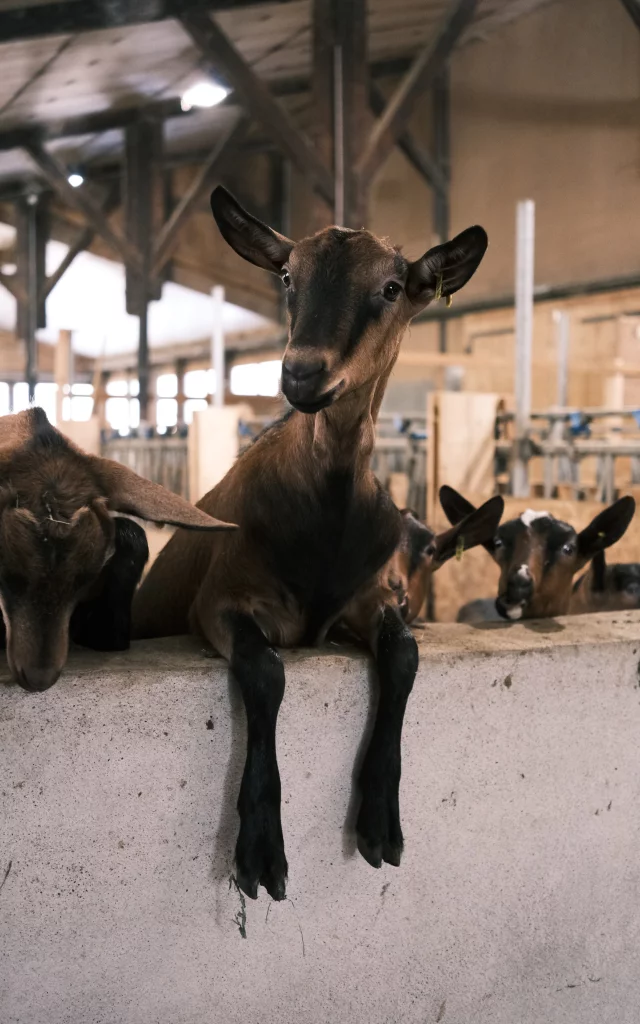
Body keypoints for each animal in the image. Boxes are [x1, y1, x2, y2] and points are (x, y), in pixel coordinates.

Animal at [132, 186, 487, 905]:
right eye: (288, 277)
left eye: (390, 287)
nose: (301, 374)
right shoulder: (222, 602)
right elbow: (268, 672)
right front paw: (261, 852)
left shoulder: (370, 598)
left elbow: (405, 656)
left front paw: (380, 822)